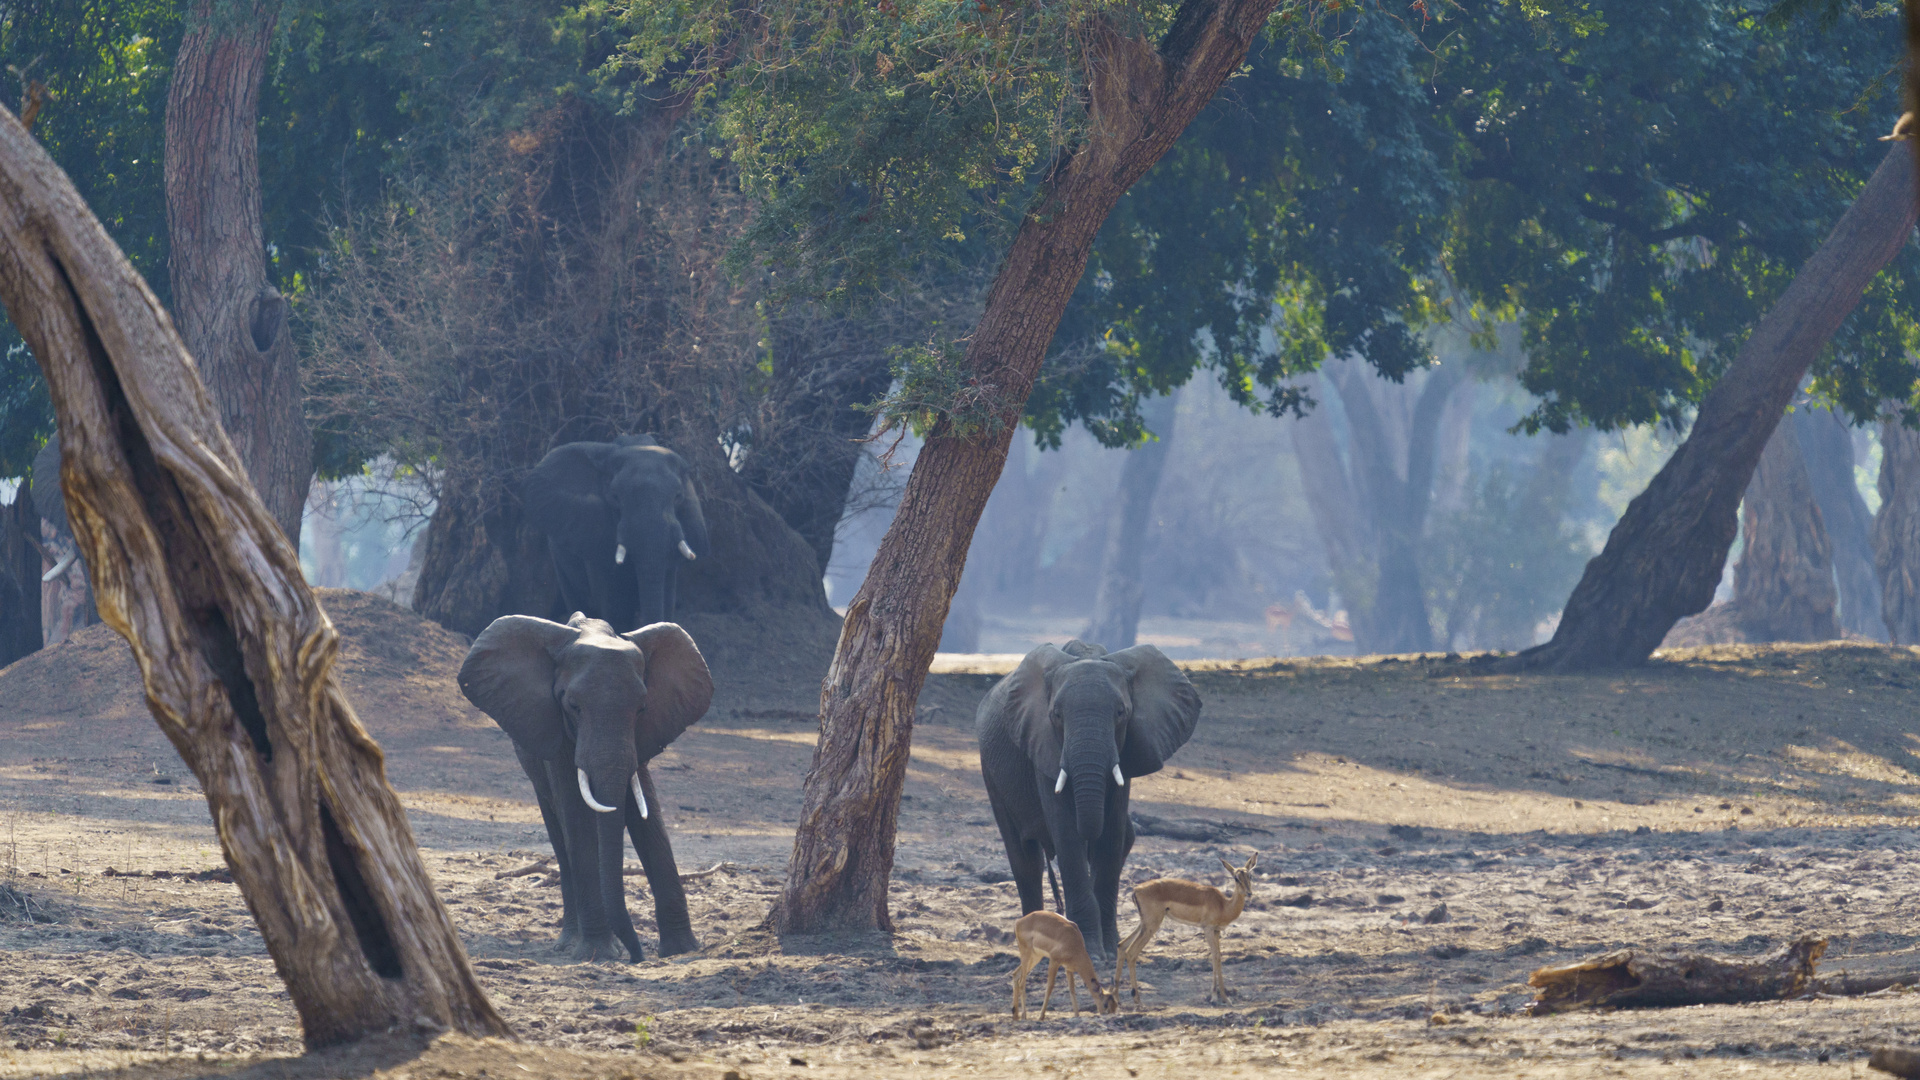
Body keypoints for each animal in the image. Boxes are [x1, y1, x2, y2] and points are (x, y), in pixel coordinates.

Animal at [460, 611, 718, 953]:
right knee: (558, 833)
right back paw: (571, 942)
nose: (637, 957)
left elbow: (645, 810)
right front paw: (599, 953)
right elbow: (576, 815)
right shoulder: (553, 727)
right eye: (573, 706)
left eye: (642, 708)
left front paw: (683, 950)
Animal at [975, 638, 1198, 957]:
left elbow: (1113, 833)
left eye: (1121, 713)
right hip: (990, 771)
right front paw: (1091, 952)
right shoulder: (1043, 743)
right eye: (1056, 715)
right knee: (1024, 857)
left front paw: (1111, 953)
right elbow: (1067, 832)